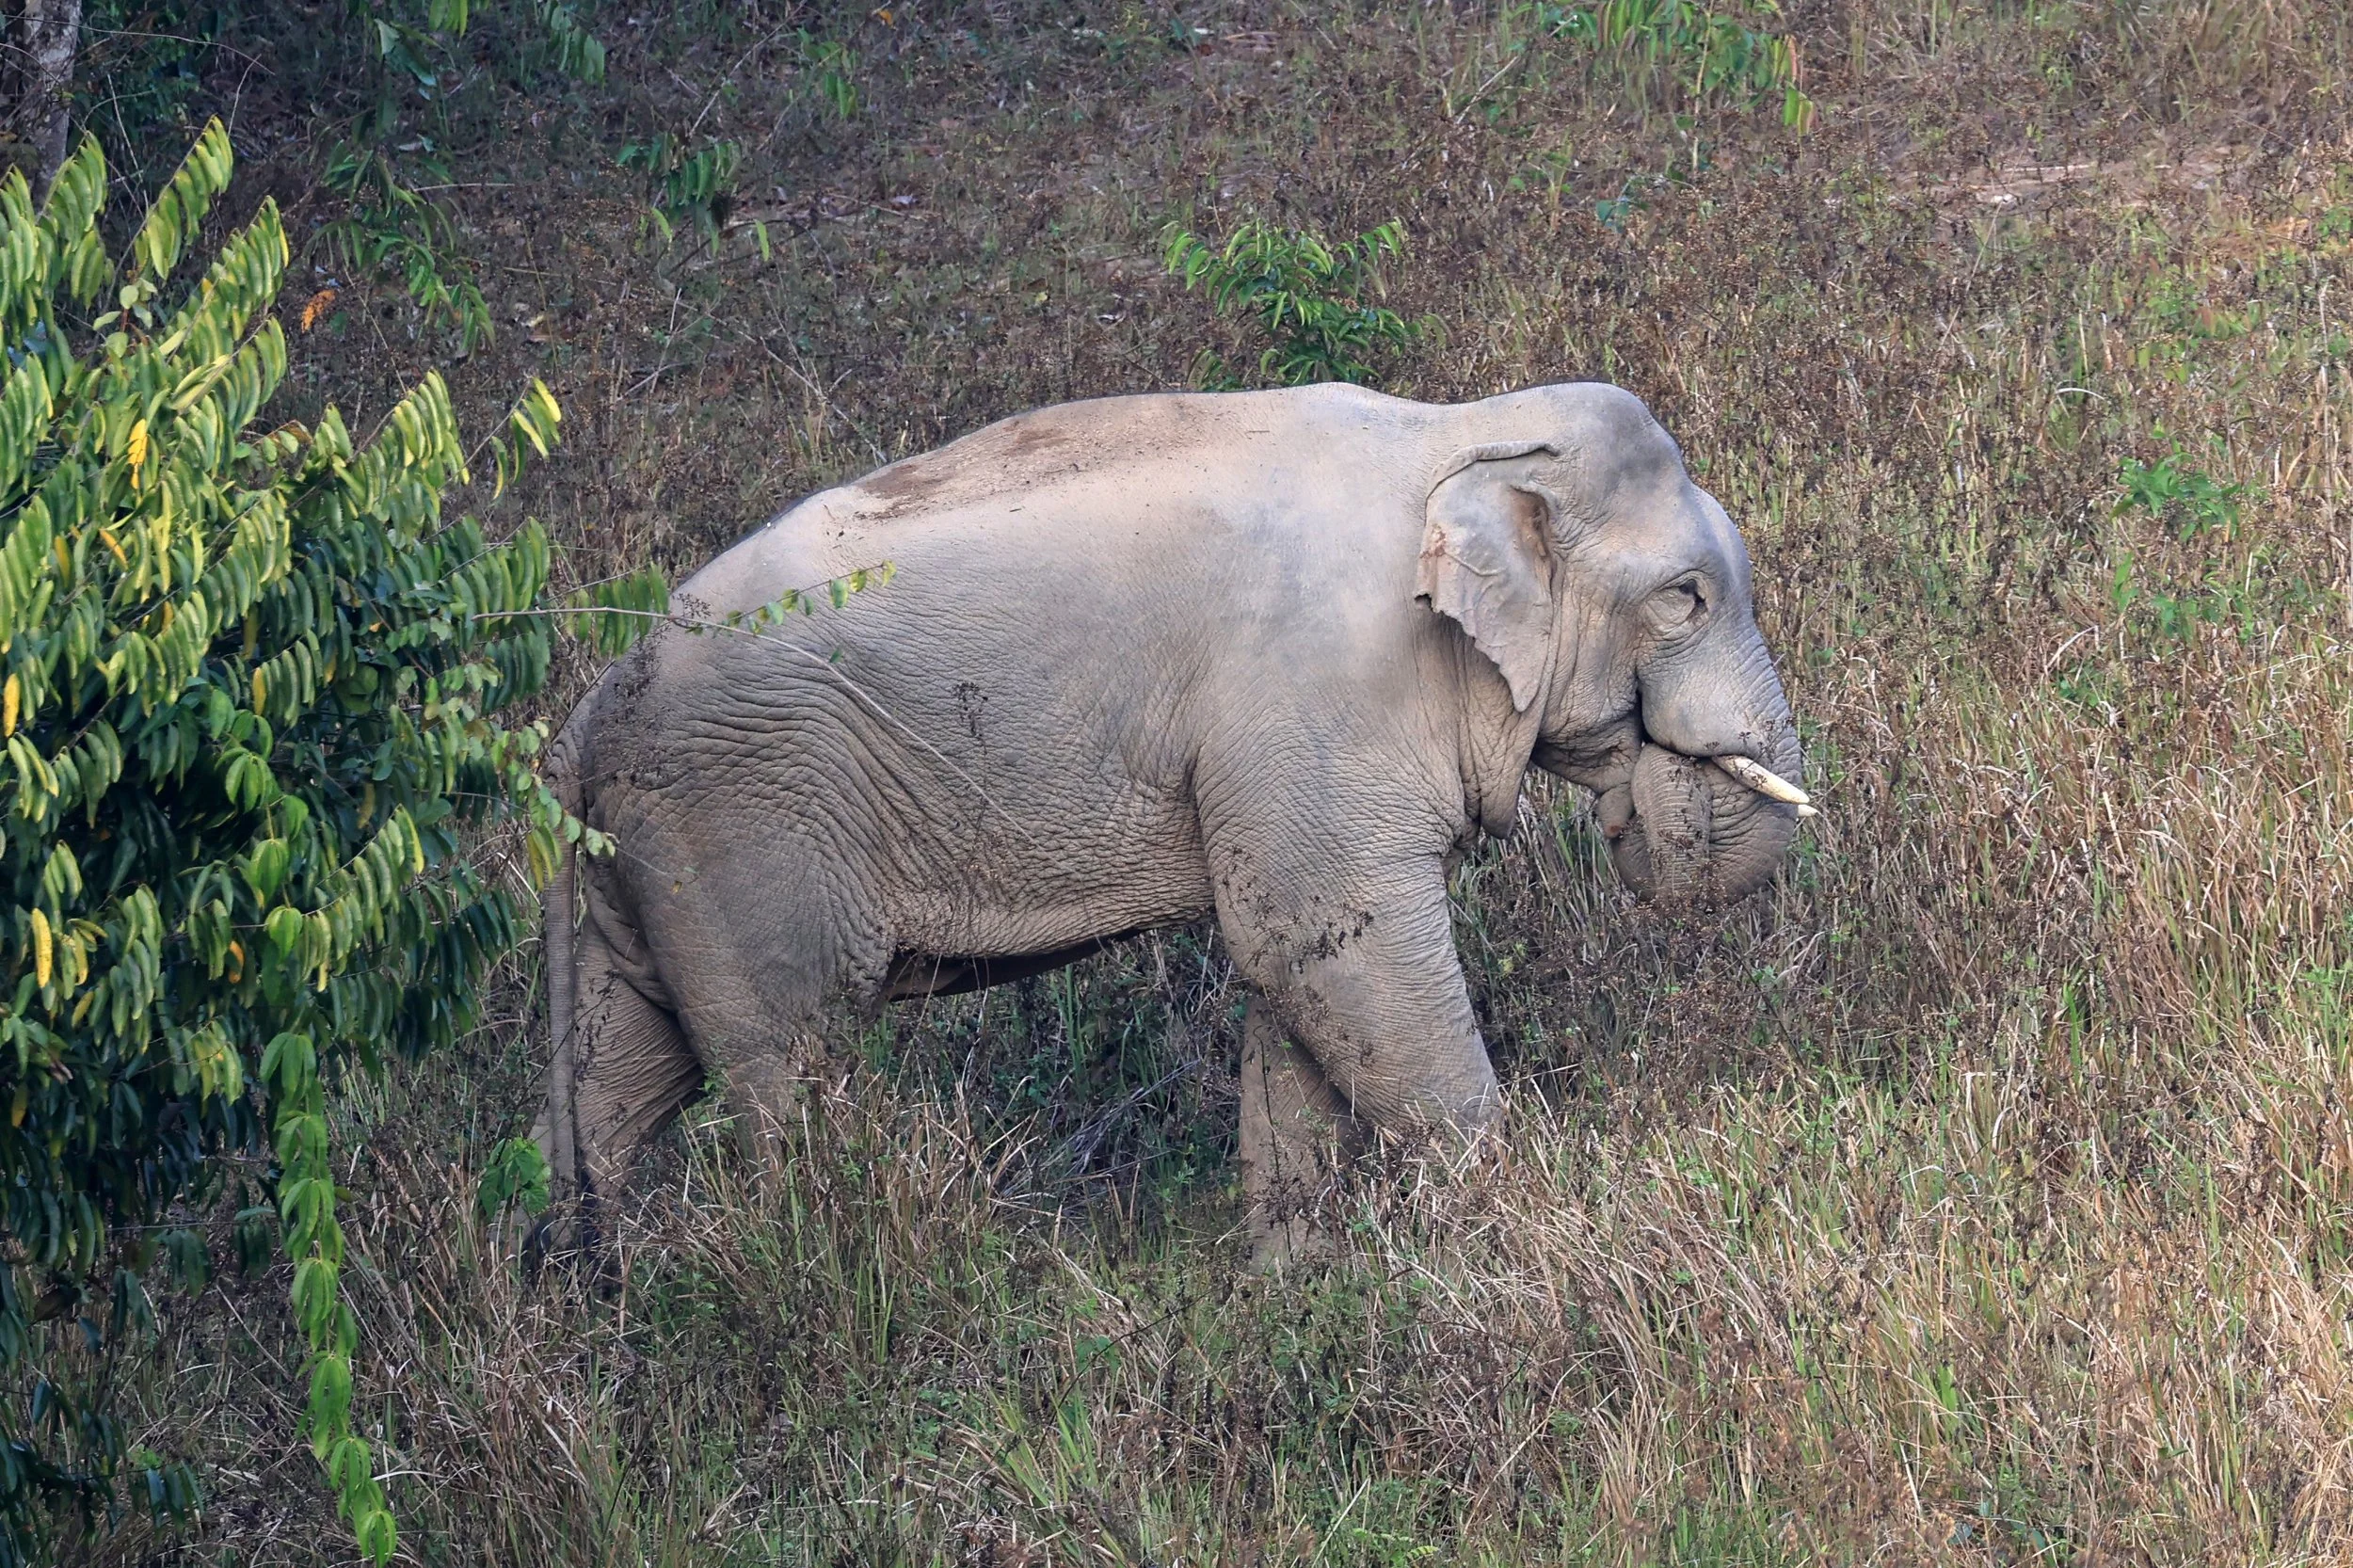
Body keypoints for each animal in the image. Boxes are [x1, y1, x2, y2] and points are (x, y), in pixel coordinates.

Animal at [531, 380, 1808, 1258]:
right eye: (1685, 597)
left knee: (618, 1078)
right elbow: (1328, 944)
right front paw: (1496, 1230)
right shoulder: (1320, 699)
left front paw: (1297, 1284)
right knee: (794, 1063)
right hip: (743, 828)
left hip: (647, 864)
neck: (1459, 429)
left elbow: (1293, 967)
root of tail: (583, 724)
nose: (1654, 799)